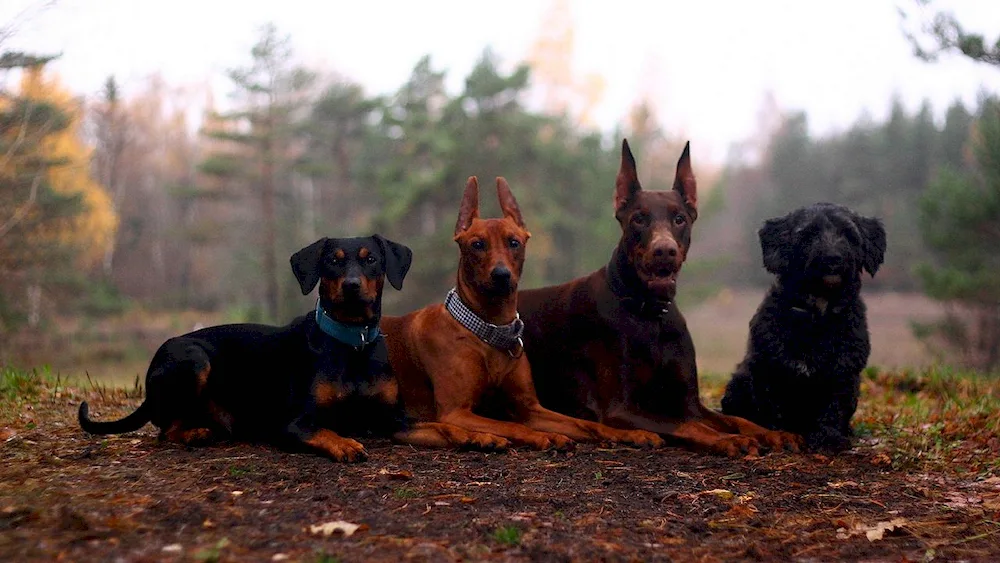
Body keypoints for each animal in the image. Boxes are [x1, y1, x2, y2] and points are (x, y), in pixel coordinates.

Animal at [382, 176, 664, 450]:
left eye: (514, 242)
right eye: (477, 244)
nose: (501, 275)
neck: (489, 329)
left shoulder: (530, 408)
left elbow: (587, 424)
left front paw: (631, 433)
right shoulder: (456, 411)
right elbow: (513, 426)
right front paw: (541, 436)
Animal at [520, 141, 800, 458]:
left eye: (679, 219)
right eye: (639, 218)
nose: (664, 250)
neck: (649, 315)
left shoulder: (690, 402)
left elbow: (735, 419)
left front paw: (773, 433)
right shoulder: (622, 408)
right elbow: (688, 424)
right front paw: (727, 440)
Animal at [720, 204, 892, 454]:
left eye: (849, 235)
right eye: (808, 235)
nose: (833, 258)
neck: (817, 316)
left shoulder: (844, 375)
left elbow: (833, 409)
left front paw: (828, 438)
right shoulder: (767, 370)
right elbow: (772, 409)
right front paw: (780, 435)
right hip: (739, 382)